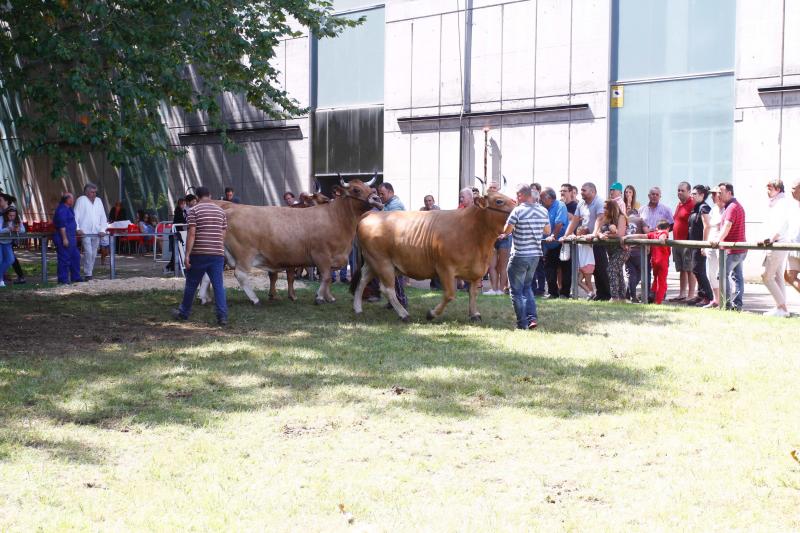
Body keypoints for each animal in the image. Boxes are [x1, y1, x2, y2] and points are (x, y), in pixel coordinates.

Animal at [352, 190, 516, 320]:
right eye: (499, 201)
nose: (517, 207)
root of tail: (372, 213)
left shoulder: (476, 271)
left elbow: (473, 293)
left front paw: (474, 314)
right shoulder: (445, 268)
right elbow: (449, 294)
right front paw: (432, 314)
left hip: (373, 262)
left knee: (362, 279)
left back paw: (358, 308)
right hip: (382, 262)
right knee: (387, 289)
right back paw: (403, 314)